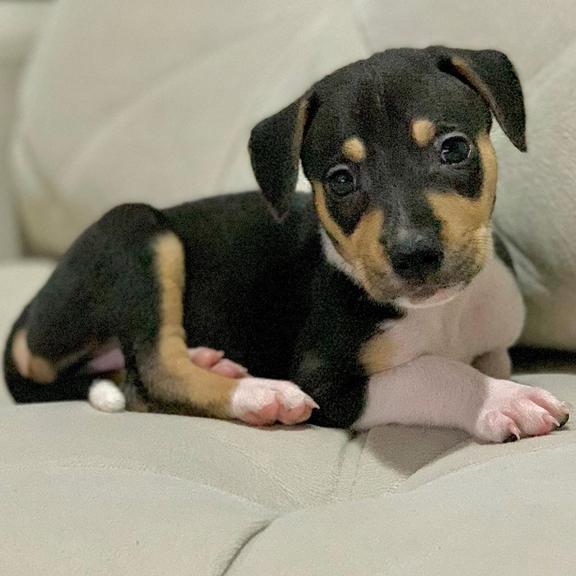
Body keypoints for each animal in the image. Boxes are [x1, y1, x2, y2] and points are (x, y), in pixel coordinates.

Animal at [4, 46, 568, 440]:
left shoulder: (493, 344)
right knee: (153, 372)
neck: (444, 313)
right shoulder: (328, 380)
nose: (414, 255)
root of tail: (32, 311)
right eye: (340, 180)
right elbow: (435, 372)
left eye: (453, 149)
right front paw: (502, 401)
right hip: (137, 231)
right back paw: (260, 395)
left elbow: (483, 360)